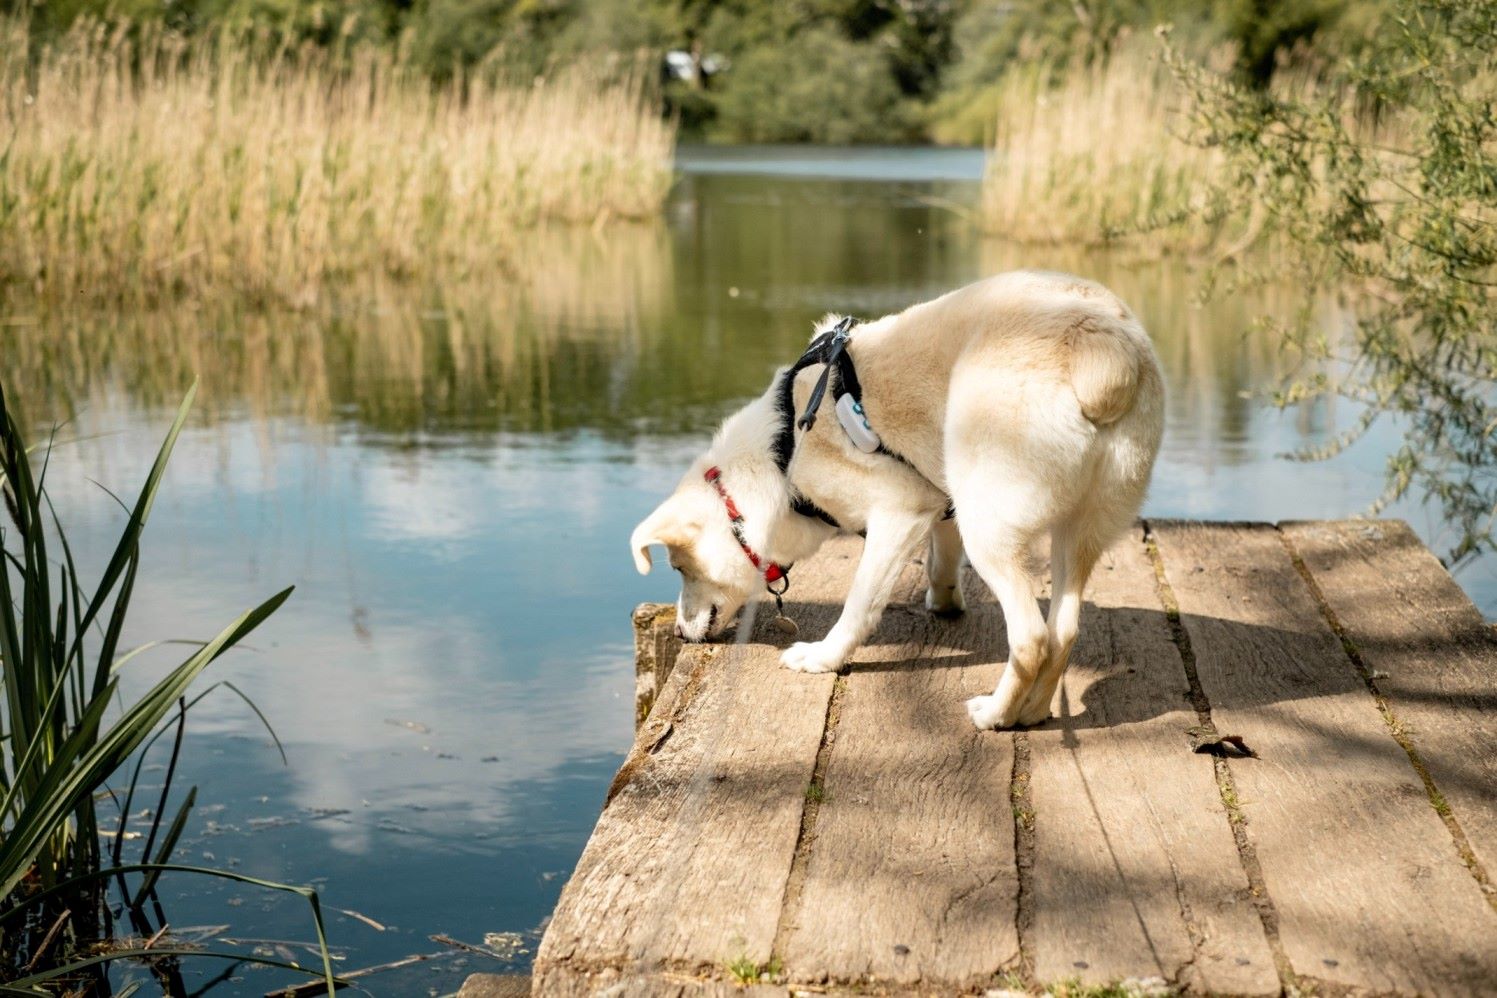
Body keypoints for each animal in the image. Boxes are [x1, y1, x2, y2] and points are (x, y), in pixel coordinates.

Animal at [625, 269, 1161, 730]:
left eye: (679, 568)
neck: (782, 450)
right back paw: (1031, 713)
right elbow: (942, 559)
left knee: (1031, 638)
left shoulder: (900, 514)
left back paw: (996, 716)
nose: (678, 633)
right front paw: (944, 602)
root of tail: (1102, 347)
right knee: (1063, 632)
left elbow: (860, 604)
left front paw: (823, 658)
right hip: (1077, 532)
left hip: (989, 528)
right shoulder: (940, 500)